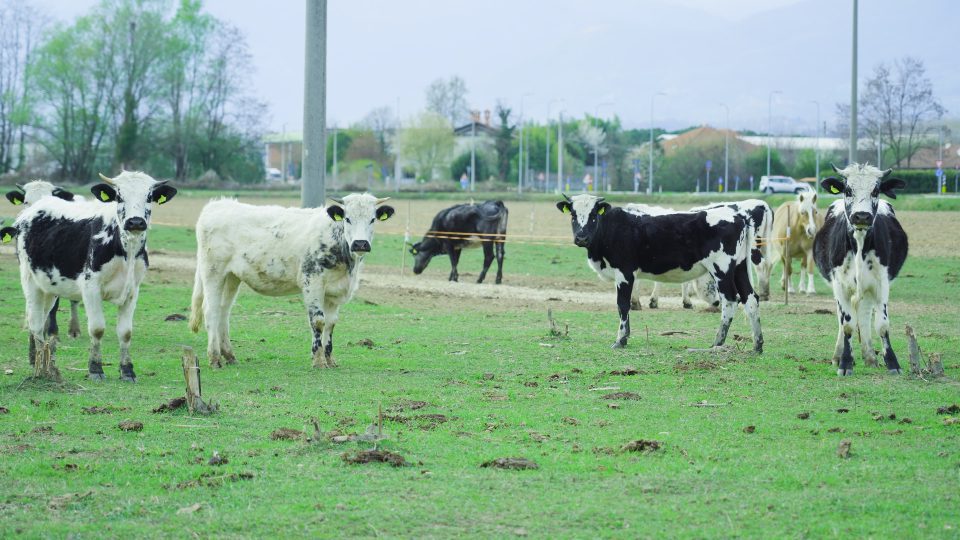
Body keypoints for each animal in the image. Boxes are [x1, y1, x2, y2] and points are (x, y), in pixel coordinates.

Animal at [189, 193, 395, 368]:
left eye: (372, 219)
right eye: (347, 219)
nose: (360, 244)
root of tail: (217, 204)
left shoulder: (334, 292)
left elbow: (330, 323)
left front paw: (330, 359)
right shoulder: (312, 281)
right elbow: (318, 321)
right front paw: (318, 361)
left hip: (232, 277)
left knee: (224, 311)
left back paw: (229, 355)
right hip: (213, 271)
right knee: (211, 311)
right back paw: (215, 358)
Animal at [557, 194, 762, 352]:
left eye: (593, 215)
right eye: (573, 215)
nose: (581, 238)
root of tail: (738, 215)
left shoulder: (624, 272)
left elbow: (622, 304)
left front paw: (620, 340)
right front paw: (626, 337)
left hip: (722, 268)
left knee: (730, 300)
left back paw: (717, 342)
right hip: (739, 267)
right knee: (751, 298)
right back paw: (757, 344)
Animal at [813, 164, 907, 376]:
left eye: (875, 191)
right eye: (848, 190)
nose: (862, 216)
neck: (860, 241)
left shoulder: (881, 283)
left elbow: (882, 324)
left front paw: (892, 362)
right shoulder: (840, 284)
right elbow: (847, 324)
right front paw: (845, 363)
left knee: (864, 314)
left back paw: (870, 356)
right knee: (843, 319)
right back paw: (839, 355)